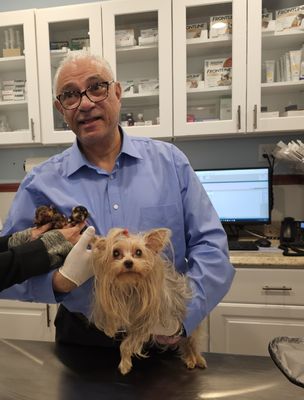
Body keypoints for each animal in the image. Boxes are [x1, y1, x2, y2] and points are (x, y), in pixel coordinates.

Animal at [90, 228, 207, 376]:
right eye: (115, 253)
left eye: (138, 252)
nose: (128, 262)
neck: (131, 286)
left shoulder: (146, 323)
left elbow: (126, 344)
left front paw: (125, 364)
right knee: (185, 343)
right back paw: (190, 358)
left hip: (192, 325)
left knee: (192, 342)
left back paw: (196, 359)